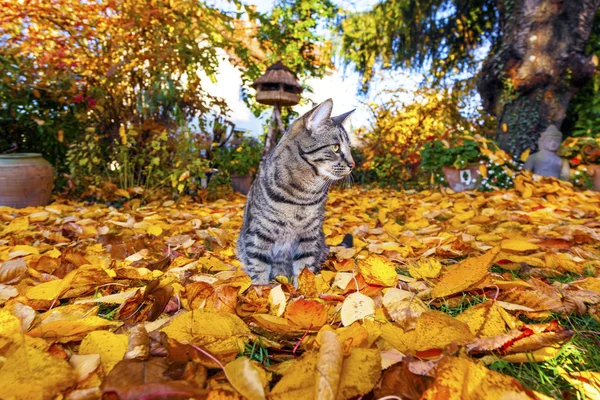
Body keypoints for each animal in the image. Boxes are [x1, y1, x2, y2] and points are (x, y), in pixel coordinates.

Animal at [237, 98, 354, 282]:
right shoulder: (260, 232)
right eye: (336, 147)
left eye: (349, 148)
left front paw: (306, 288)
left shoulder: (310, 235)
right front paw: (261, 289)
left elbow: (305, 268)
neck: (304, 193)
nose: (352, 164)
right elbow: (258, 267)